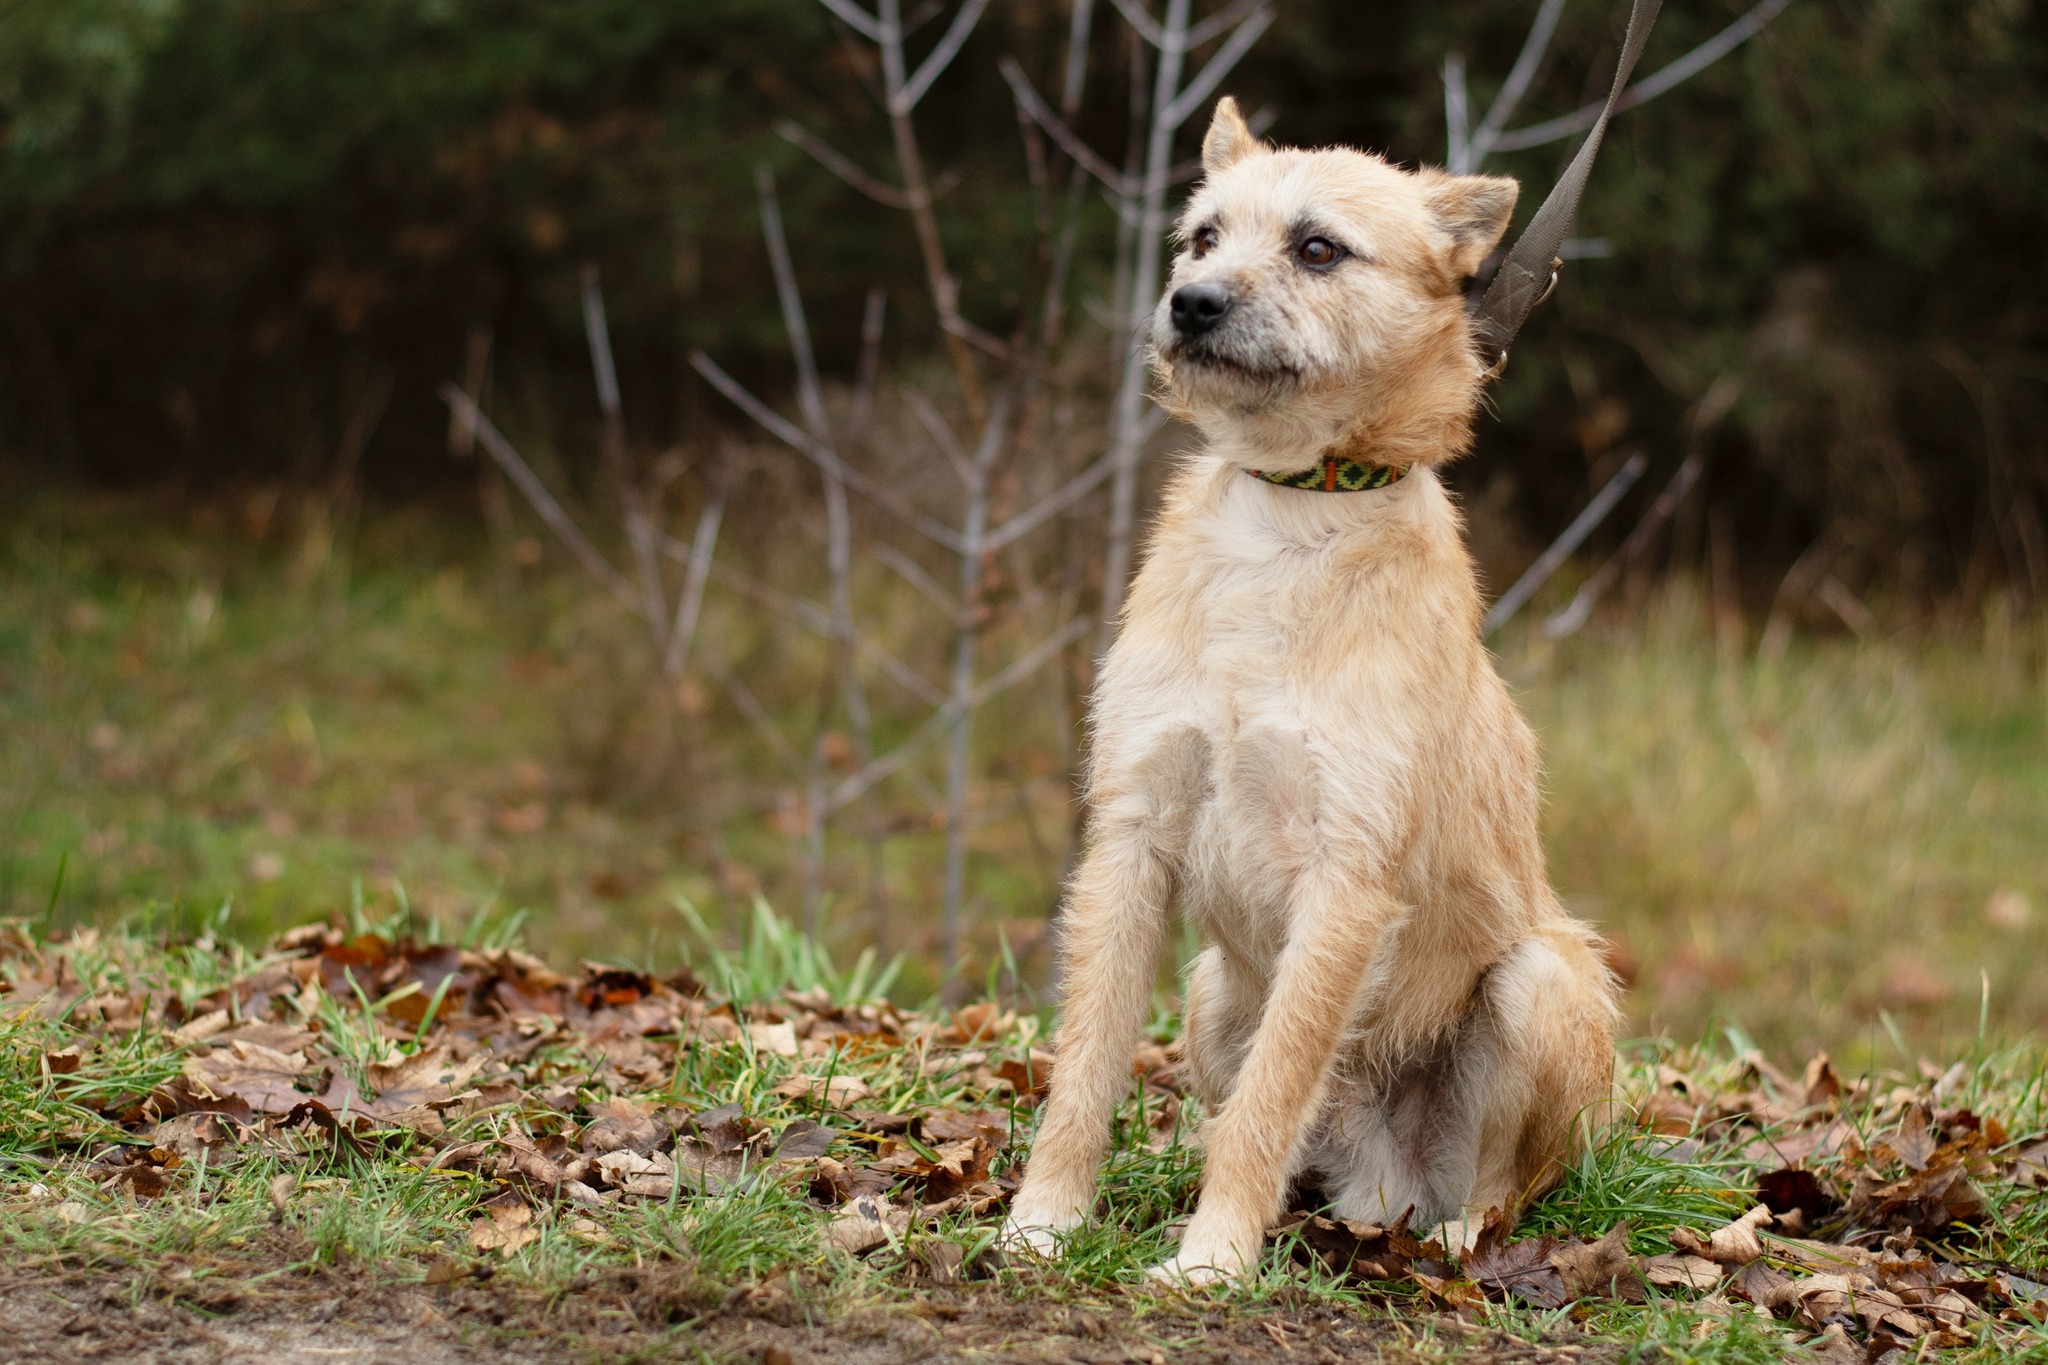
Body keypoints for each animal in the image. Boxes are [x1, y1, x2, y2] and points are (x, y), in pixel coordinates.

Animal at [1003, 101, 1613, 1285]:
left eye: (1317, 248)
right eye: (1201, 237)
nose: (1191, 304)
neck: (1288, 517)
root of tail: (1385, 1187)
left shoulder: (1345, 877)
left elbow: (1272, 1091)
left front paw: (1208, 1262)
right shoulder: (1132, 833)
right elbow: (1085, 1066)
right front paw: (1042, 1223)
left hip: (1538, 984)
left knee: (1495, 1189)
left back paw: (1455, 1244)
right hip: (1206, 986)